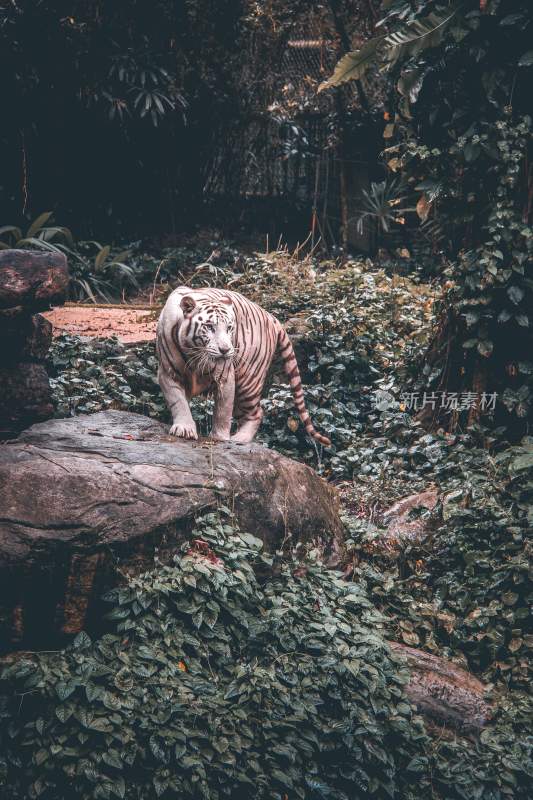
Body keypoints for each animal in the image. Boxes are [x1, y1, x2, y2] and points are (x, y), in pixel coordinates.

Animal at [155, 288, 328, 446]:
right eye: (209, 327)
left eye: (229, 328)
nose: (225, 350)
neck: (195, 354)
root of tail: (271, 316)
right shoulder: (168, 373)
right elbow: (178, 402)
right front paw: (185, 429)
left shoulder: (225, 377)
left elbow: (223, 411)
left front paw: (219, 437)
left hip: (248, 381)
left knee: (257, 412)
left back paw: (239, 439)